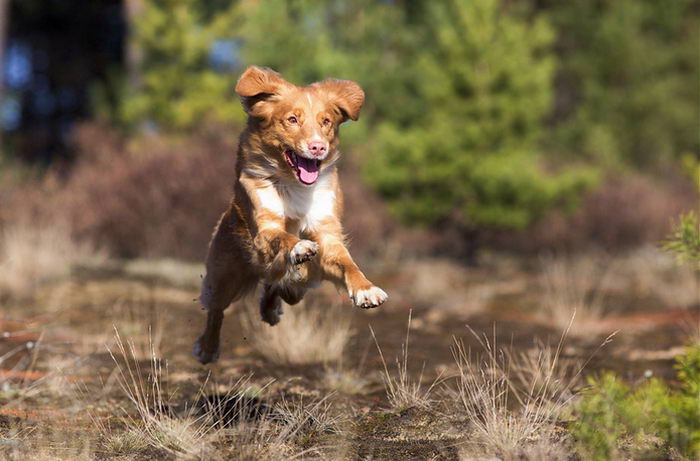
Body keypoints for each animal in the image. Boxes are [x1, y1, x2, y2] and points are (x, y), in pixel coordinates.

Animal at [193, 64, 388, 362]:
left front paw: (366, 289)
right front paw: (299, 247)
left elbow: (348, 263)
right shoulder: (265, 228)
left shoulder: (328, 234)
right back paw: (208, 349)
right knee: (216, 308)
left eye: (326, 121)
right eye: (292, 120)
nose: (318, 147)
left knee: (278, 285)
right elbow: (283, 237)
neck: (294, 184)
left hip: (302, 283)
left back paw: (270, 309)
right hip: (226, 272)